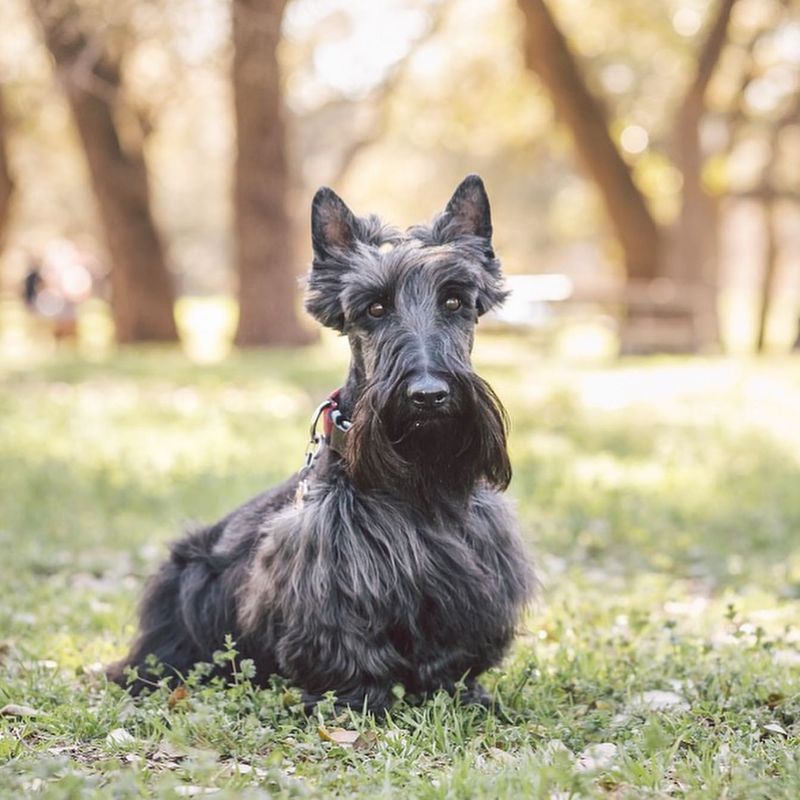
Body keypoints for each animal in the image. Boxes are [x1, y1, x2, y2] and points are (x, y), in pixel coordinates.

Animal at [106, 175, 532, 712]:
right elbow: (346, 644)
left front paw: (462, 692)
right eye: (375, 308)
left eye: (454, 301)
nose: (429, 395)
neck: (419, 478)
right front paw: (359, 700)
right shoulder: (330, 575)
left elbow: (455, 646)